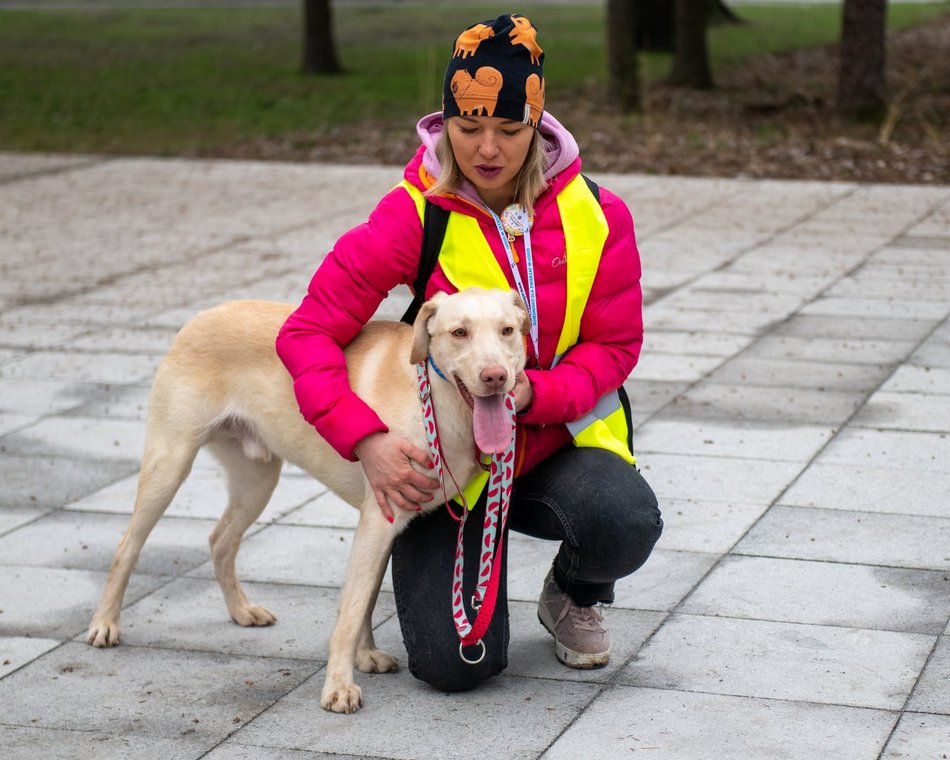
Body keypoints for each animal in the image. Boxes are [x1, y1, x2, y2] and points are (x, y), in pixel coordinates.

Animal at [85, 288, 532, 716]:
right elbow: (352, 608)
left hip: (257, 480)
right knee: (127, 545)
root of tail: (202, 315)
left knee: (220, 540)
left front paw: (364, 656)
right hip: (170, 463)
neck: (438, 403)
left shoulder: (383, 527)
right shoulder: (378, 518)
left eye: (507, 331)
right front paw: (338, 687)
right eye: (459, 333)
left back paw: (241, 610)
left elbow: (366, 598)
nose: (496, 376)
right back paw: (105, 624)